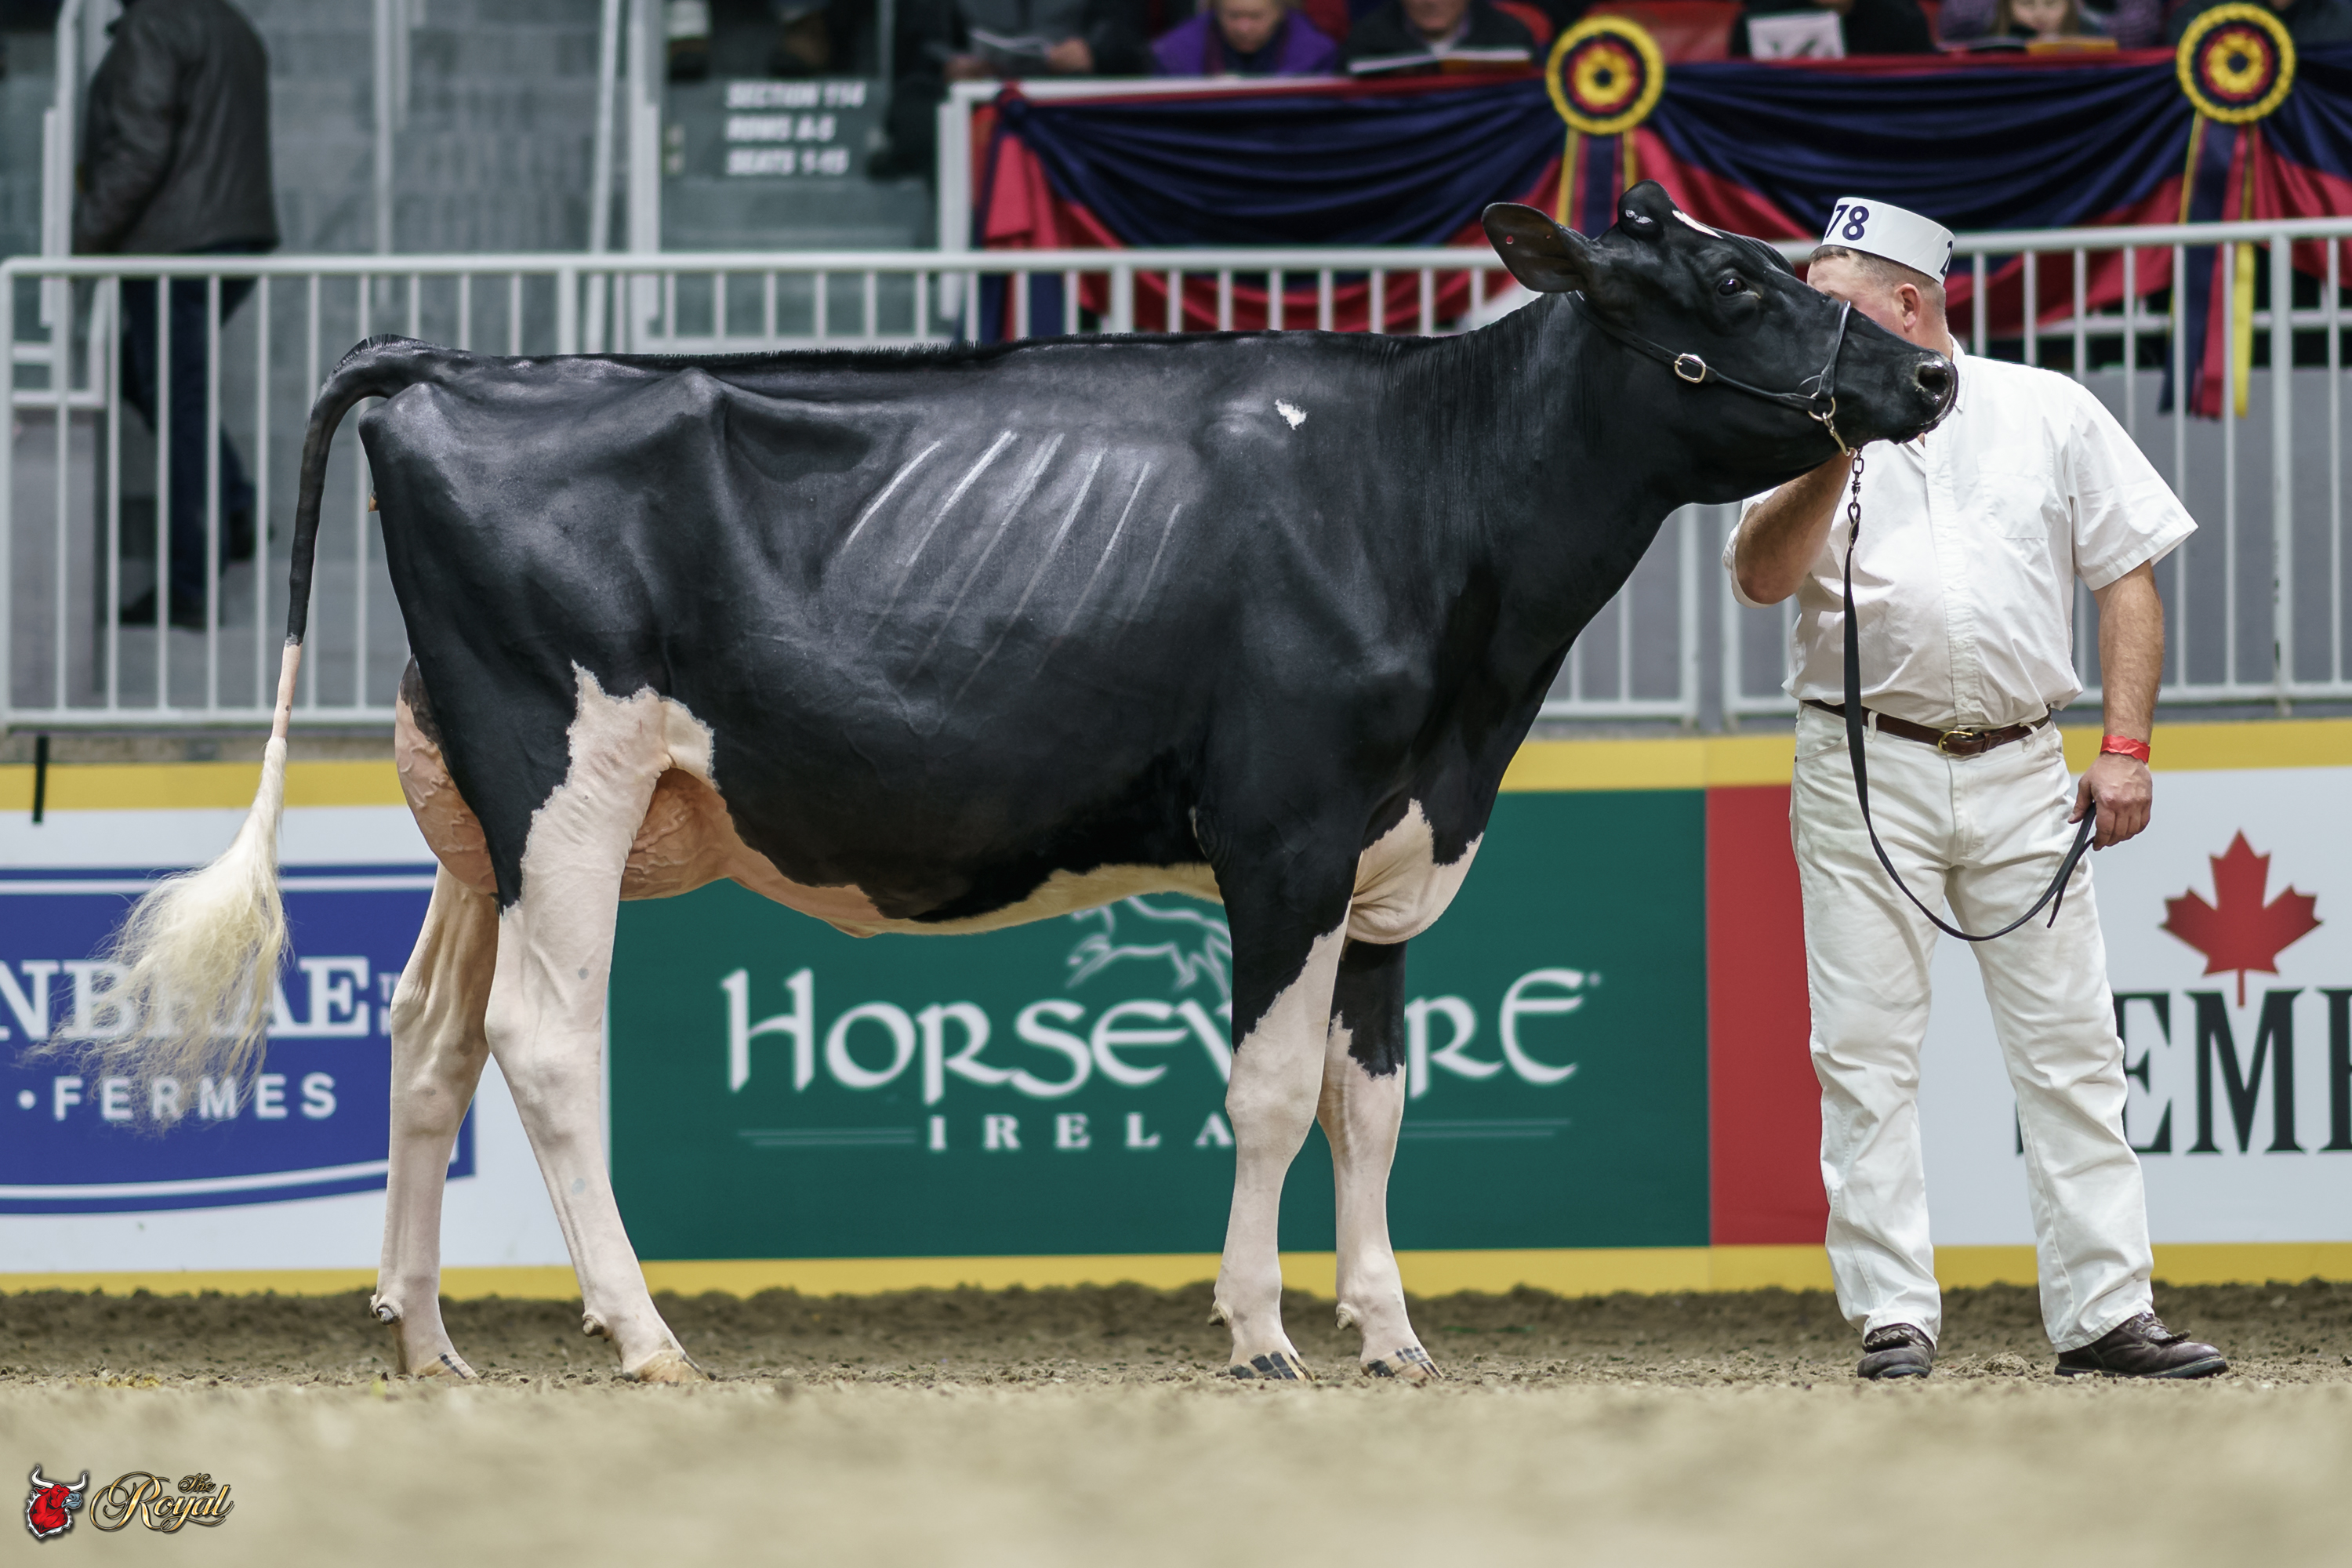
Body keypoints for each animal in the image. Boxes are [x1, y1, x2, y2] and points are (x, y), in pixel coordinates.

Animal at [85, 181, 1952, 1385]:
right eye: (1733, 288)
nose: (1930, 374)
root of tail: (454, 365)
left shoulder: (1399, 851)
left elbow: (1374, 1100)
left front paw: (1395, 1333)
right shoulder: (1284, 834)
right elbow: (1270, 1091)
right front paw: (1264, 1334)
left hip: (474, 815)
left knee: (429, 1034)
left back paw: (427, 1341)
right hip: (569, 780)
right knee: (546, 1038)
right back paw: (644, 1335)